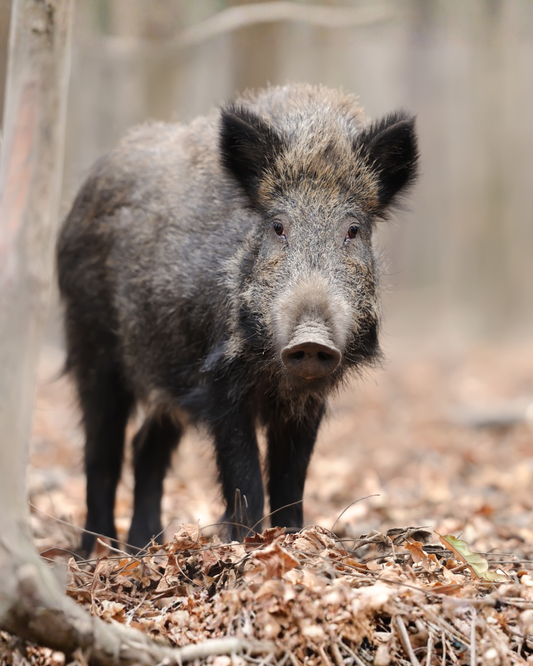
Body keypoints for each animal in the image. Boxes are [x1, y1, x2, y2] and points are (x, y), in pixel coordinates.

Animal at [56, 83, 418, 554]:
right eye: (278, 226)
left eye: (353, 230)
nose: (311, 339)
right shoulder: (219, 382)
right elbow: (244, 475)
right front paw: (247, 547)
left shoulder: (308, 399)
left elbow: (291, 478)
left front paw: (293, 541)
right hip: (91, 341)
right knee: (102, 451)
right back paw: (95, 552)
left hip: (165, 374)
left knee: (146, 449)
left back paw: (145, 548)